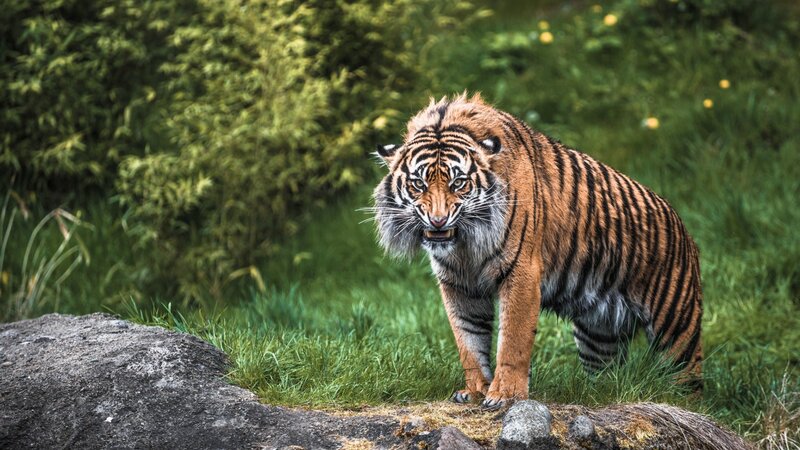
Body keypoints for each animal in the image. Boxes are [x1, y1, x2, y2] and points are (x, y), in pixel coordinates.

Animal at [371, 93, 703, 409]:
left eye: (459, 183)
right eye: (418, 184)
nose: (438, 220)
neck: (465, 244)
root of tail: (683, 227)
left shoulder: (521, 273)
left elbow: (512, 341)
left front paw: (504, 395)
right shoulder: (458, 285)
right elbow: (469, 342)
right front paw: (475, 391)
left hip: (676, 326)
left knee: (689, 379)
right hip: (598, 334)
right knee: (608, 374)